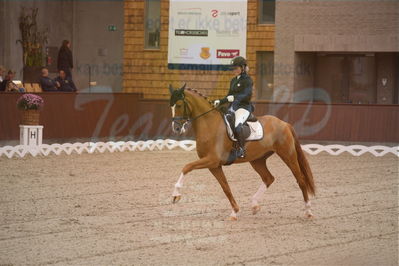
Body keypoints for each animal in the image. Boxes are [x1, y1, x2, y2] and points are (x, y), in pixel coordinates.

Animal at [169, 85, 316, 220]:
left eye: (179, 105)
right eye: (171, 106)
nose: (176, 128)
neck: (209, 124)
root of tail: (284, 123)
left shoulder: (212, 160)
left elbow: (187, 167)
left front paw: (176, 195)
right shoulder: (214, 165)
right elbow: (226, 187)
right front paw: (235, 212)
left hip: (287, 155)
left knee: (301, 180)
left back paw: (308, 211)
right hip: (257, 160)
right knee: (268, 178)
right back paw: (255, 205)